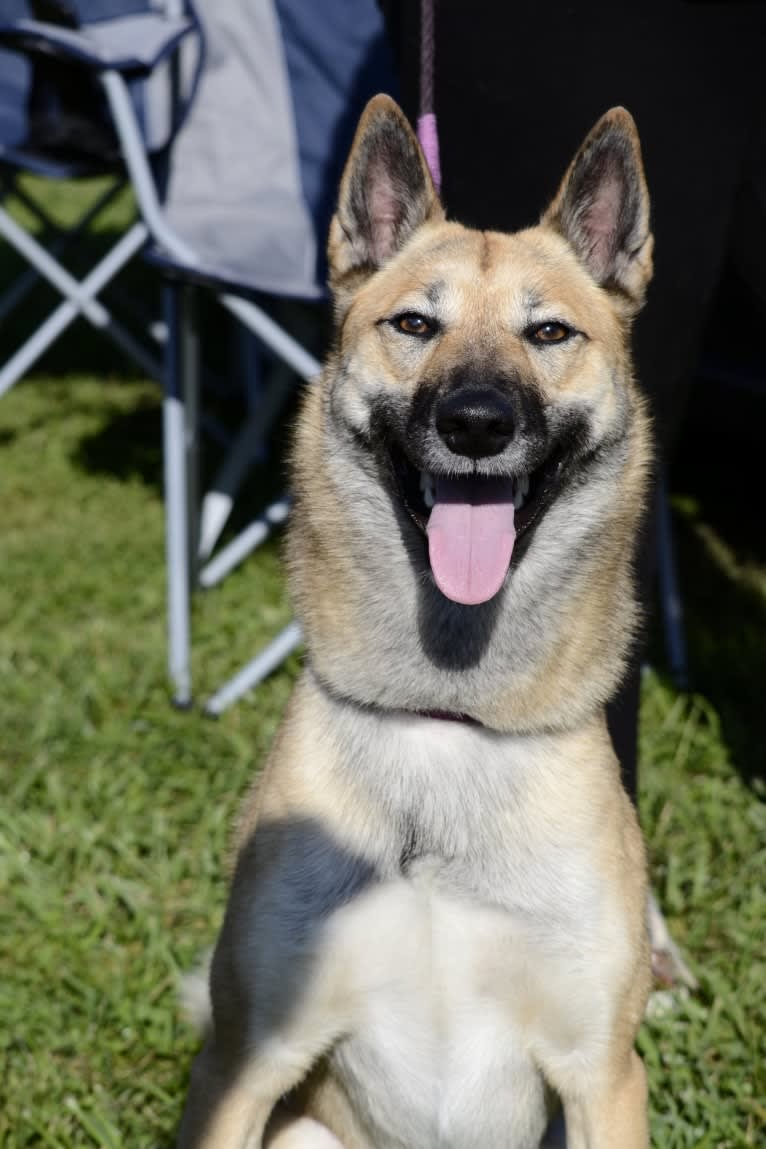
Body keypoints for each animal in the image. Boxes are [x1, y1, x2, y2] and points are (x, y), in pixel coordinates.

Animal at [178, 96, 652, 1149]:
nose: (476, 422)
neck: (449, 719)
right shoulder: (244, 1059)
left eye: (549, 331)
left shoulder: (603, 1075)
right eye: (415, 323)